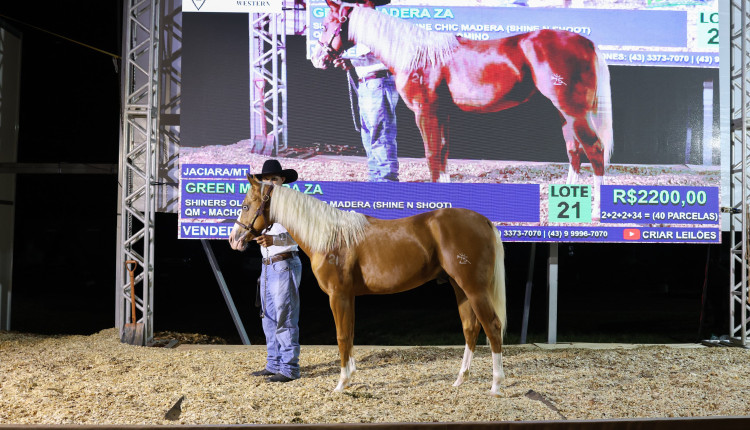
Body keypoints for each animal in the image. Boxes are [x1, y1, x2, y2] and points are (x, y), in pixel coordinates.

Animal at [229, 178, 512, 396]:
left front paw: (341, 384)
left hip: (474, 288)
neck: (330, 236)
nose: (234, 239)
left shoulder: (338, 295)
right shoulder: (349, 296)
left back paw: (496, 386)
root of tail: (484, 221)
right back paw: (460, 380)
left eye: (245, 205)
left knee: (492, 327)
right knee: (470, 328)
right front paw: (350, 377)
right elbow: (351, 333)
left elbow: (342, 336)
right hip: (460, 288)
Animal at [314, 0, 612, 188]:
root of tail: (586, 42)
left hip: (574, 111)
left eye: (327, 24)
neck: (418, 55)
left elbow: (432, 156)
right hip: (565, 113)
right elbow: (443, 153)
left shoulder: (425, 112)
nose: (318, 58)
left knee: (595, 150)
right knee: (574, 152)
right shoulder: (442, 113)